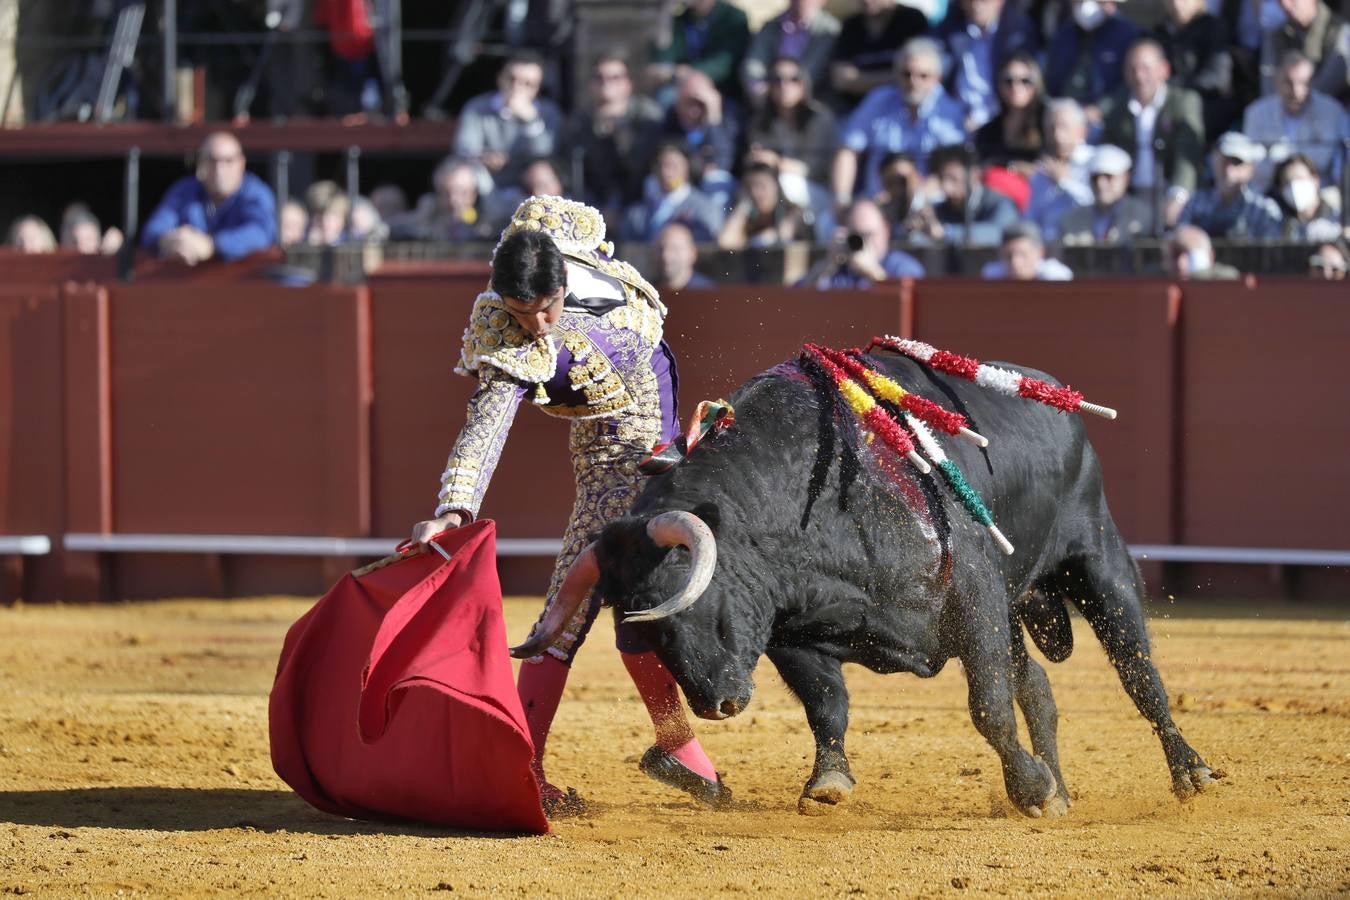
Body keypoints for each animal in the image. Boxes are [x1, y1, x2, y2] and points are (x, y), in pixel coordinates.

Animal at [515, 350, 1215, 814]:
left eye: (689, 605)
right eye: (644, 634)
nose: (719, 705)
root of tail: (1056, 395)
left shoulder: (973, 597)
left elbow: (988, 706)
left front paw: (1029, 786)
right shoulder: (790, 631)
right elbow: (827, 703)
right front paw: (828, 783)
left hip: (1097, 561)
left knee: (1138, 670)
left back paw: (1191, 771)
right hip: (1016, 609)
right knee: (1039, 685)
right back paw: (1064, 790)